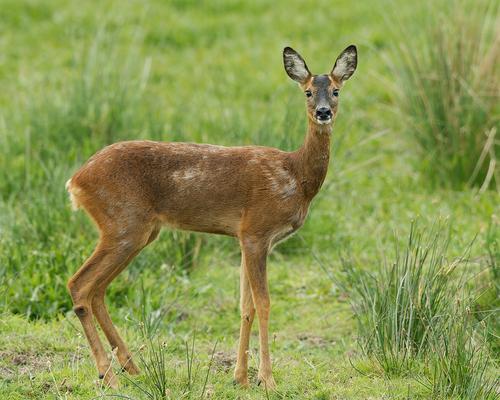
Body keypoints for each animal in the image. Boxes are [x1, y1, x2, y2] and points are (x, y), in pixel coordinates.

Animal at [66, 45, 358, 390]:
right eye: (308, 92)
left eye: (337, 91)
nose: (324, 112)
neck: (295, 176)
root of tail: (76, 181)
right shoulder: (256, 231)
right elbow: (264, 303)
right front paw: (267, 380)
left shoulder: (247, 238)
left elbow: (246, 306)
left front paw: (241, 378)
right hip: (123, 224)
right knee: (79, 284)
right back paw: (108, 375)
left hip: (139, 232)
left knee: (97, 290)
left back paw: (131, 368)